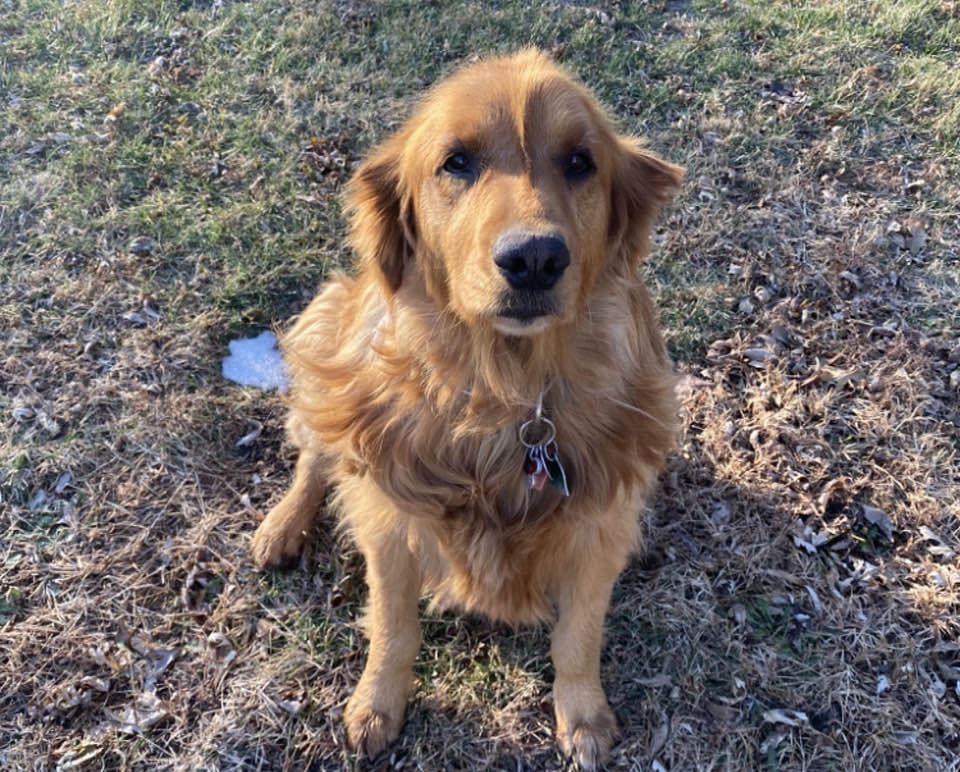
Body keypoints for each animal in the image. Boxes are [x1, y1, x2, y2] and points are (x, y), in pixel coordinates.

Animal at [249, 51, 684, 768]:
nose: (534, 258)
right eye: (456, 162)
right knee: (316, 457)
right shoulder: (391, 522)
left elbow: (577, 637)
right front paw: (376, 706)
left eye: (580, 162)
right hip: (326, 329)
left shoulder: (598, 530)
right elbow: (393, 627)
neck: (503, 391)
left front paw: (583, 716)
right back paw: (281, 527)